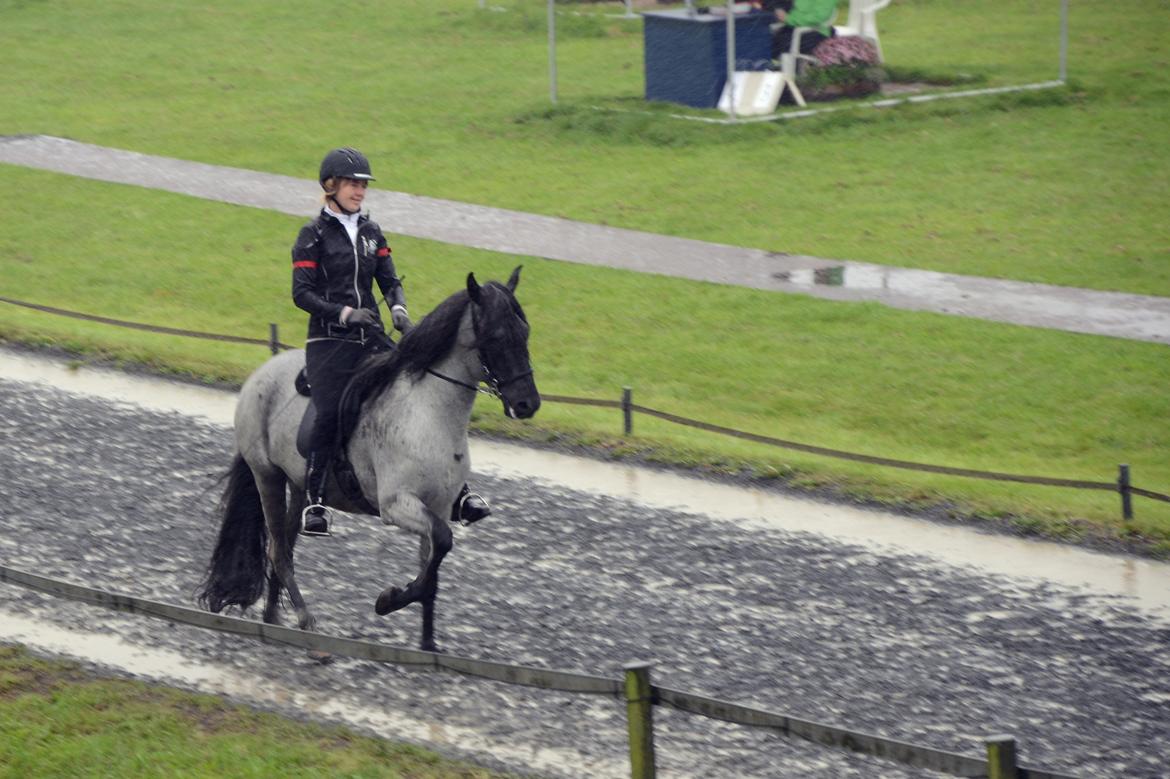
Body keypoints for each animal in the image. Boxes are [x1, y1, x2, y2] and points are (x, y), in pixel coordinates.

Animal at [195, 266, 538, 650]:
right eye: (496, 335)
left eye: (525, 331)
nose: (527, 403)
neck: (428, 411)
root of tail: (261, 373)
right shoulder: (396, 505)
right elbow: (441, 545)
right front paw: (388, 600)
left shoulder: (435, 505)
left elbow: (434, 564)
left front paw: (427, 645)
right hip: (267, 476)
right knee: (279, 552)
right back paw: (305, 622)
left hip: (297, 484)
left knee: (286, 545)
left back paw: (275, 619)